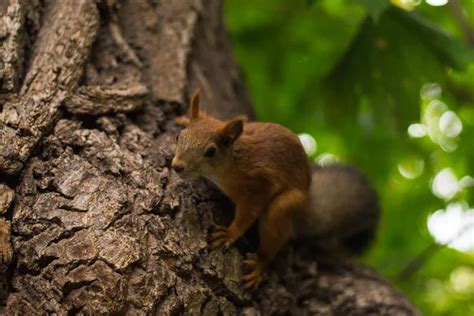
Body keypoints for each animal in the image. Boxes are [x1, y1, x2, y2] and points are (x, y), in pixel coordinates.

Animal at [172, 90, 380, 290]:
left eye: (211, 152)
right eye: (179, 136)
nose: (177, 166)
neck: (232, 161)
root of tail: (307, 204)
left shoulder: (258, 184)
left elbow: (247, 214)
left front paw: (230, 233)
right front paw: (183, 118)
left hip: (283, 207)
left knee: (273, 236)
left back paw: (259, 265)